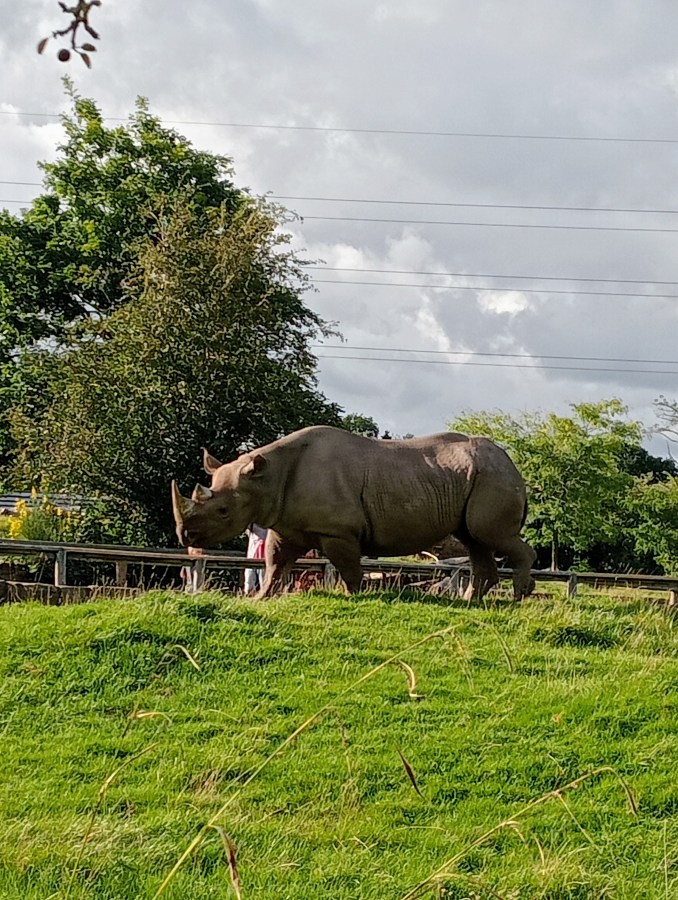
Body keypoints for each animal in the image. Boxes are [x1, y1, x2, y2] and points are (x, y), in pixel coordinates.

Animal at [171, 426, 536, 601]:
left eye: (222, 511)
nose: (185, 536)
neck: (268, 477)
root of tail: (513, 465)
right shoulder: (284, 525)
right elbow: (274, 564)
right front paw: (260, 598)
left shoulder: (338, 531)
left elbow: (347, 567)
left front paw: (353, 596)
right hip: (481, 477)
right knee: (474, 540)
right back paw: (472, 601)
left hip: (494, 478)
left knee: (490, 535)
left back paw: (519, 596)